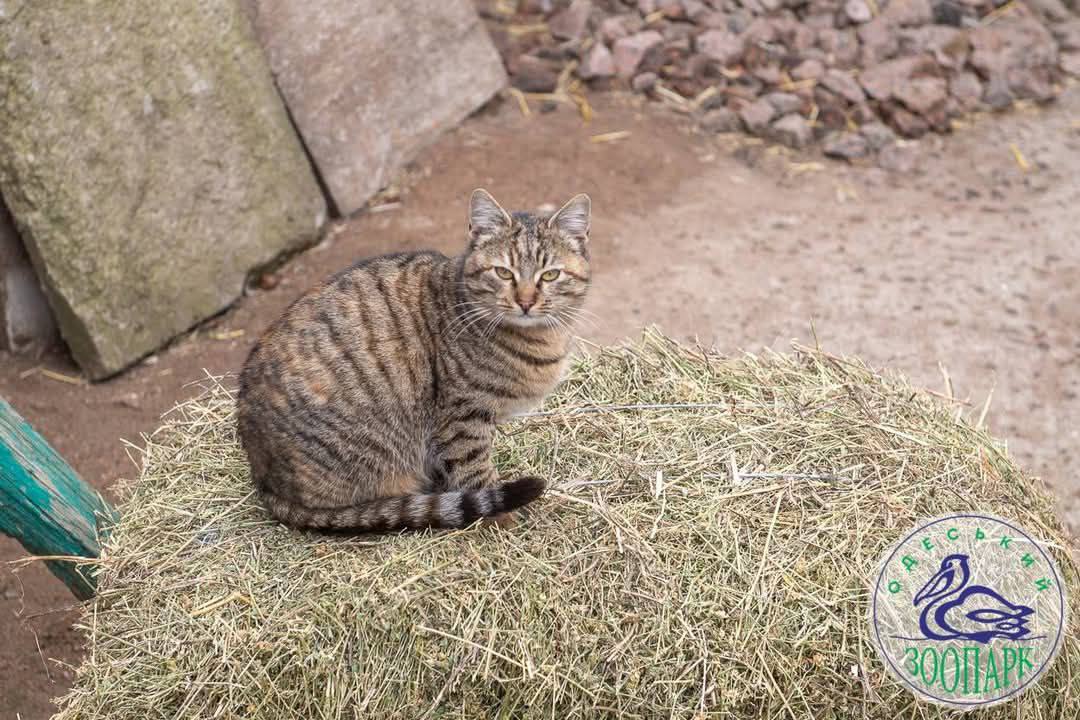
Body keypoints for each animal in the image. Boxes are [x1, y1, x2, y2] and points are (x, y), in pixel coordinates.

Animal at [236, 188, 591, 533]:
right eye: (503, 272)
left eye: (551, 275)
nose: (526, 301)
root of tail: (265, 482)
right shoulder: (461, 417)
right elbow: (474, 467)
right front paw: (501, 515)